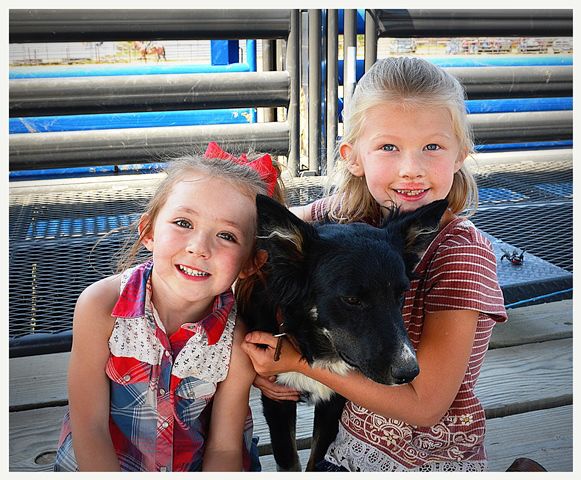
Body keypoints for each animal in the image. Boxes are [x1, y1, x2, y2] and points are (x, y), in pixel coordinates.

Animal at [238, 193, 446, 470]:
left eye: (401, 294)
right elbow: (290, 460)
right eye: (351, 299)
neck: (316, 345)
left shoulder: (335, 401)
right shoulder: (277, 401)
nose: (409, 373)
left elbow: (316, 456)